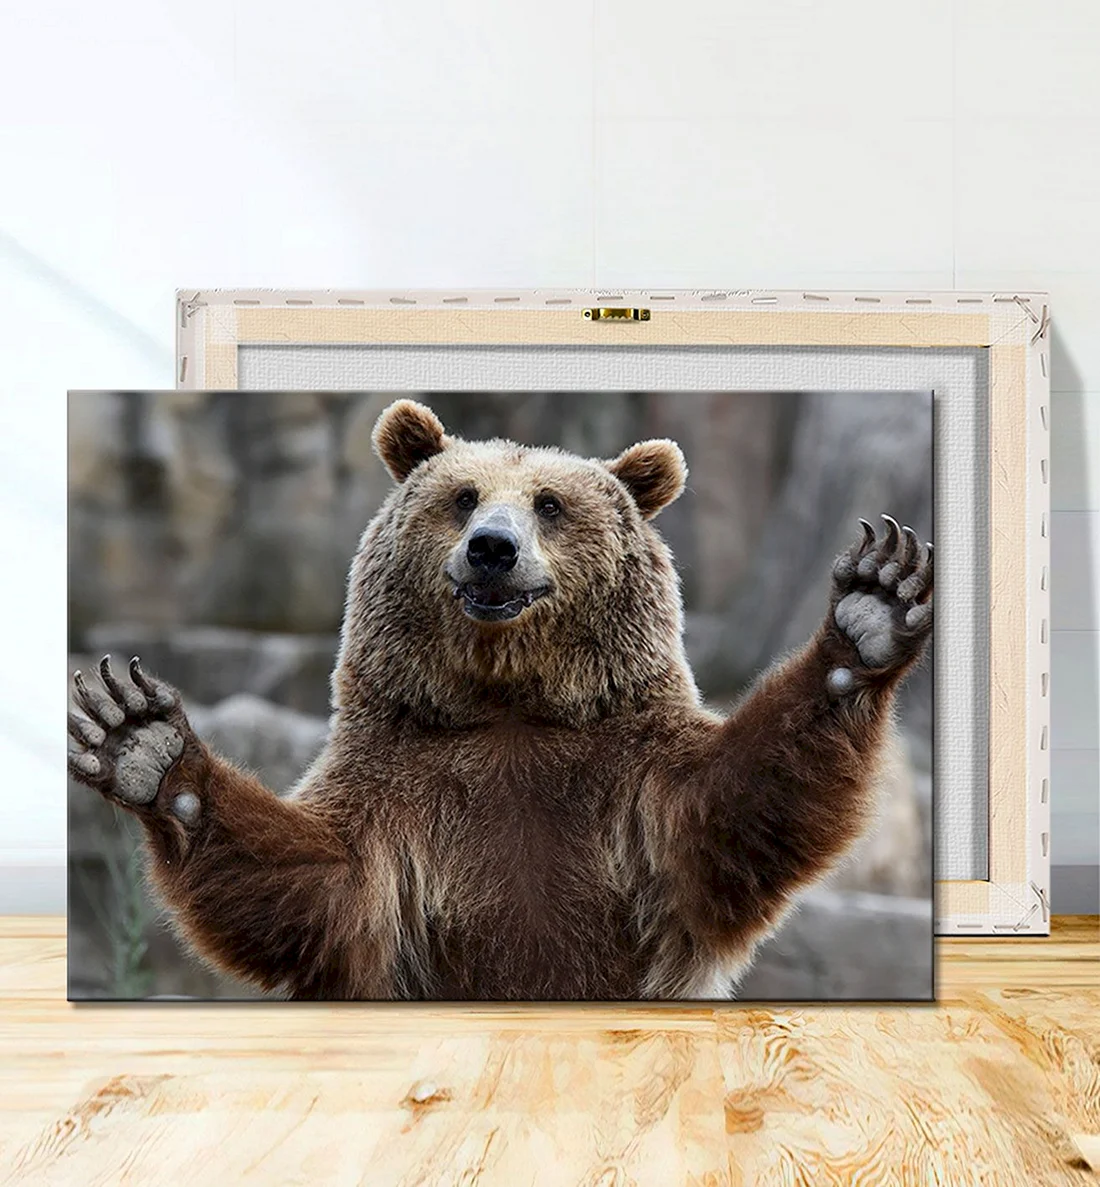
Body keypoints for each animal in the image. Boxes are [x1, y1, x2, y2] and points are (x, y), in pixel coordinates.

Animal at [68, 398, 933, 1001]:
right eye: (463, 495)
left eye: (550, 502)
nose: (492, 547)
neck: (509, 701)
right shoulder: (403, 782)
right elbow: (316, 885)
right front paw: (142, 741)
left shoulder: (627, 770)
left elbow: (738, 802)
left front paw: (871, 607)